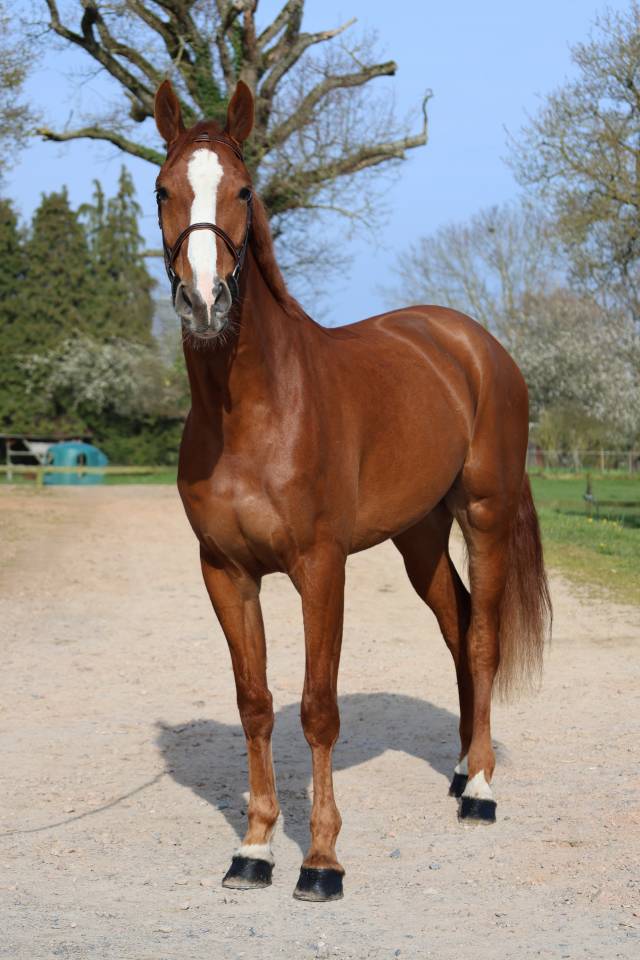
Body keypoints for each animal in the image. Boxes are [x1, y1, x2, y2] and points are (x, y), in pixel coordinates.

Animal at [153, 78, 551, 902]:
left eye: (244, 189)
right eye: (162, 189)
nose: (204, 302)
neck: (253, 411)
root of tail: (473, 344)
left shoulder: (320, 567)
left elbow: (317, 708)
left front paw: (322, 860)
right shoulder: (225, 571)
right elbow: (256, 704)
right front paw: (254, 847)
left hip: (485, 517)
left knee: (485, 637)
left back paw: (482, 789)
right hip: (420, 537)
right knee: (458, 627)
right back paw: (460, 769)